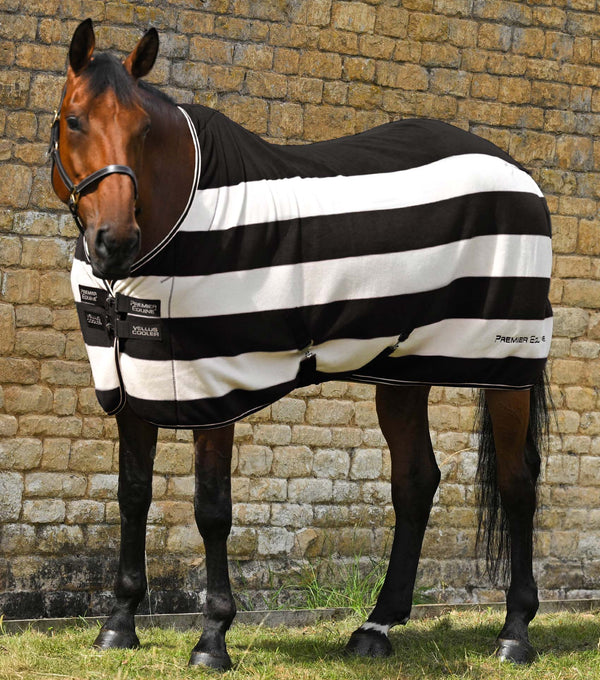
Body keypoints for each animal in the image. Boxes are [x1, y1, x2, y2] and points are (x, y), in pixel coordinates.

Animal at [49, 19, 553, 669]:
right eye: (74, 120)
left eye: (143, 130)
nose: (114, 241)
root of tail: (519, 173)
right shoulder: (132, 386)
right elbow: (132, 494)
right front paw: (118, 623)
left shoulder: (215, 387)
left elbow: (211, 510)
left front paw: (212, 638)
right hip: (404, 368)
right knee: (416, 481)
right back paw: (376, 627)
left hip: (505, 364)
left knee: (517, 483)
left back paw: (515, 632)